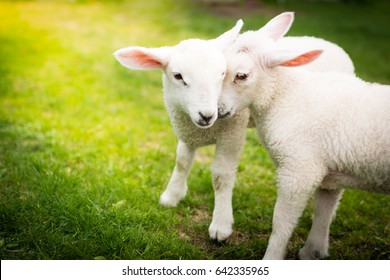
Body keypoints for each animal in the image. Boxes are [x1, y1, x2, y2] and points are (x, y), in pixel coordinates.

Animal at [113, 16, 356, 243]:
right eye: (178, 76)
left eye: (222, 73)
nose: (207, 115)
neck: (204, 129)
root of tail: (328, 43)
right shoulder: (188, 131)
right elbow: (182, 161)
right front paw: (172, 195)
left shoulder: (232, 133)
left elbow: (221, 175)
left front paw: (220, 225)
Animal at [218, 12, 388, 260]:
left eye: (241, 76)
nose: (215, 110)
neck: (286, 97)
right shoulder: (332, 171)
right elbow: (323, 211)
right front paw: (312, 252)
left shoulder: (299, 170)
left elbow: (281, 222)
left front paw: (272, 257)